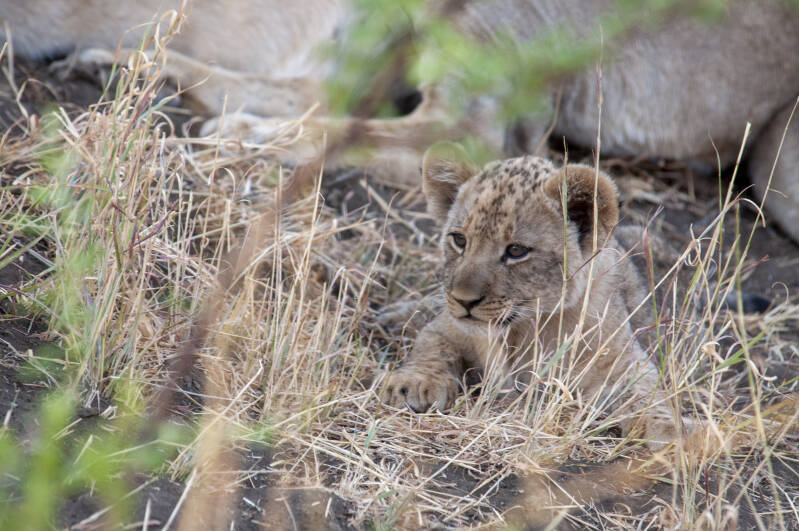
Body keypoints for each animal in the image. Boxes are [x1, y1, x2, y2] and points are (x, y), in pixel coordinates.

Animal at [383, 143, 679, 449]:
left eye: (516, 251)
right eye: (460, 240)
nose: (464, 300)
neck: (525, 329)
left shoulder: (621, 360)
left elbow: (647, 394)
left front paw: (673, 436)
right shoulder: (449, 328)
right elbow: (432, 346)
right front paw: (415, 383)